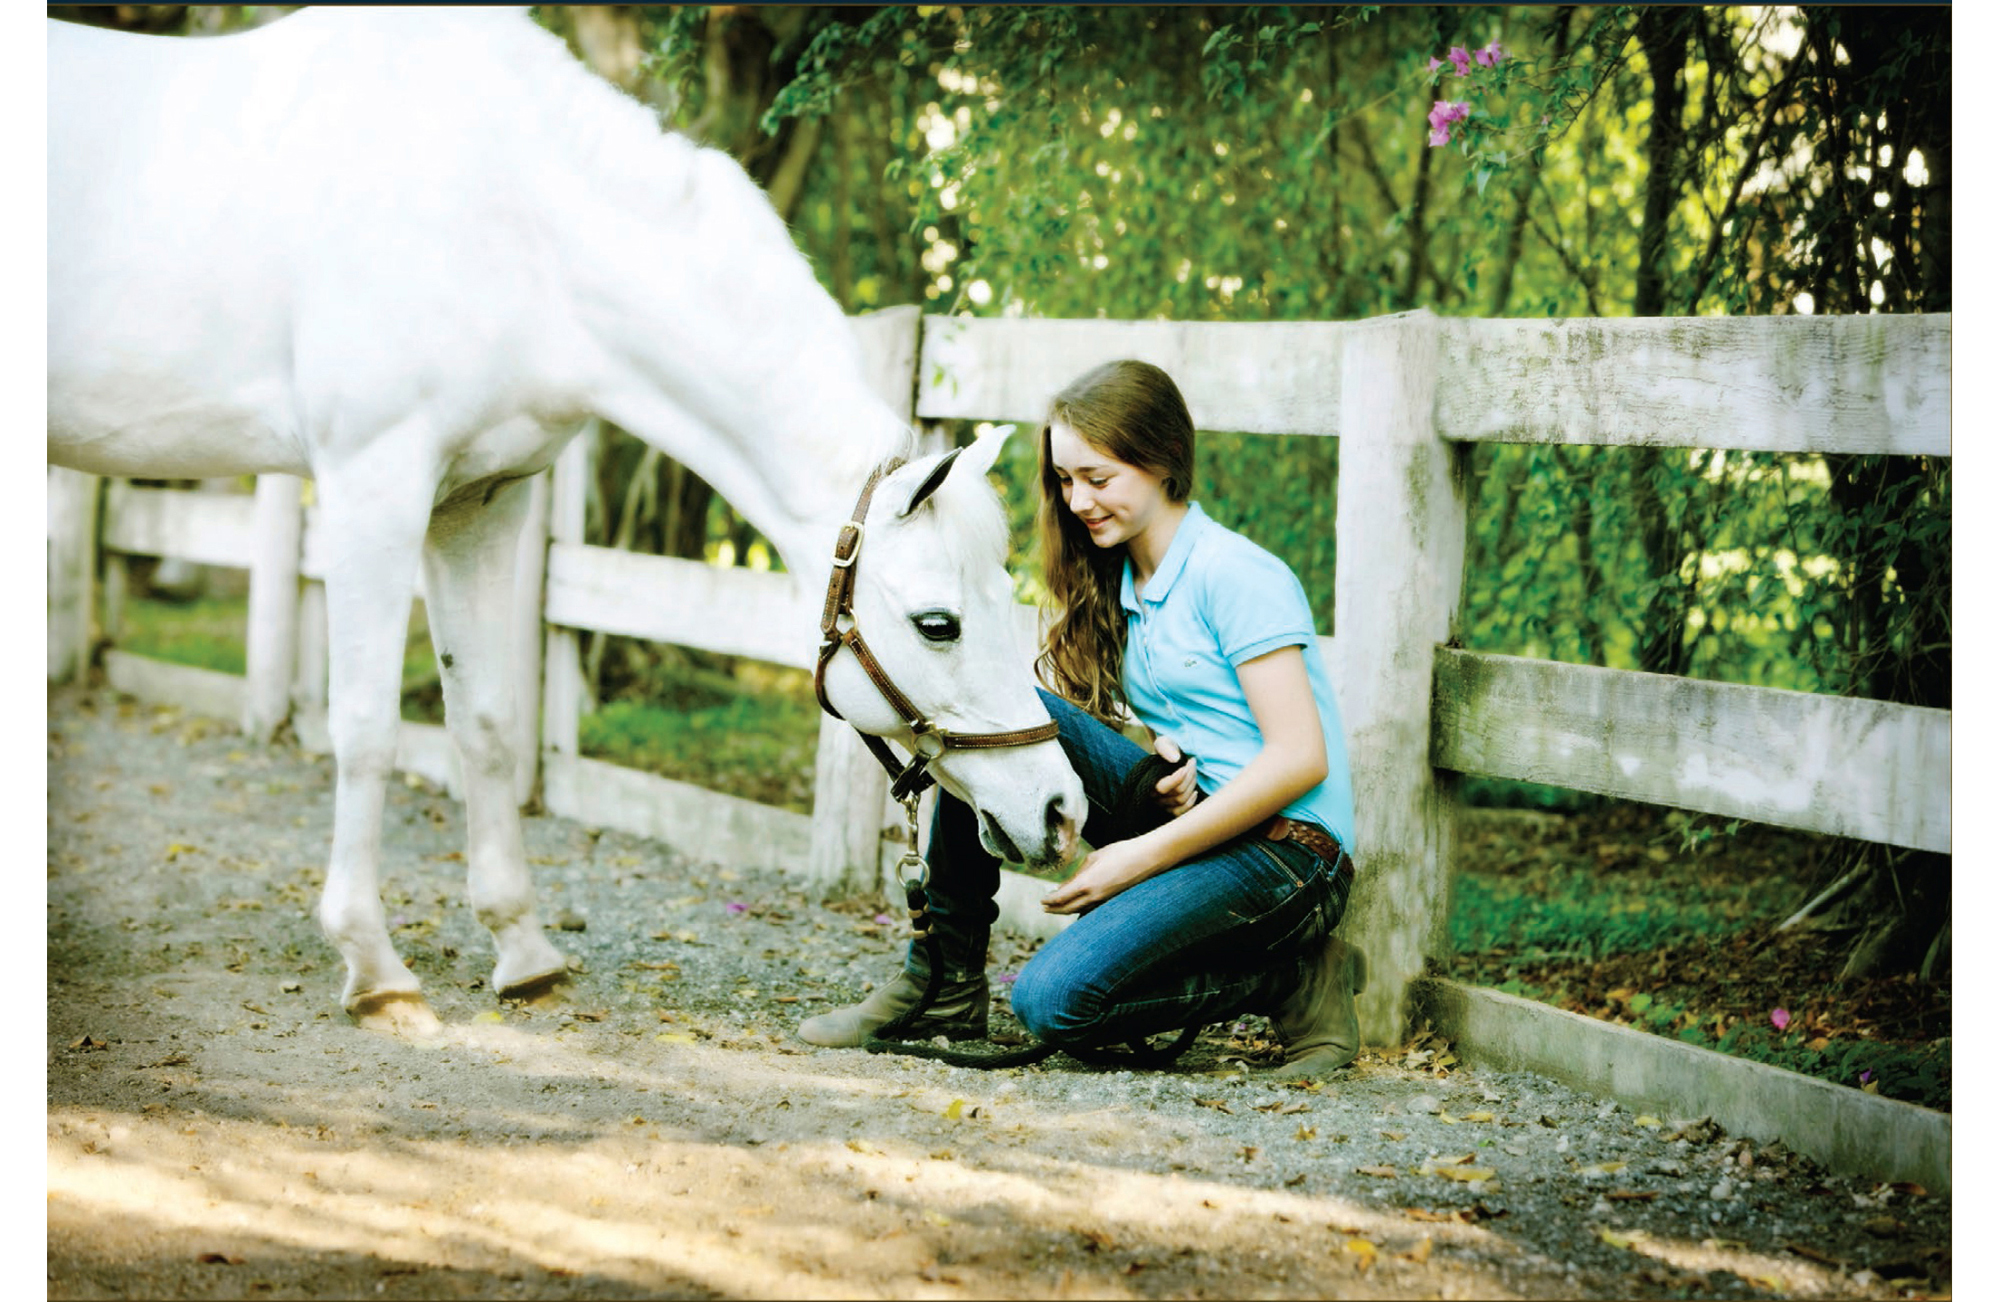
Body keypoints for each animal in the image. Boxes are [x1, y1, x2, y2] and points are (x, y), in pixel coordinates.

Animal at [47, 5, 1088, 1032]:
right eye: (938, 624)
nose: (1061, 812)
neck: (510, 219)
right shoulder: (371, 487)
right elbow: (368, 726)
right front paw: (375, 966)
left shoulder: (477, 503)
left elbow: (487, 721)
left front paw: (522, 950)